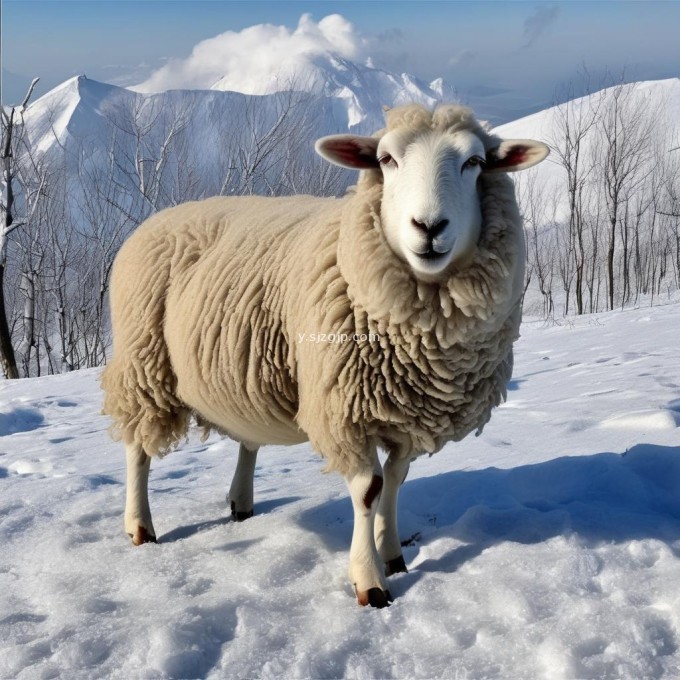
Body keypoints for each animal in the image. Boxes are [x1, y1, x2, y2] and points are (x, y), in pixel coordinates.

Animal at [99, 103, 548, 608]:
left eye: (475, 162)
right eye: (386, 159)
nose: (429, 228)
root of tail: (157, 218)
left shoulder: (410, 414)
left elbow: (395, 480)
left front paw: (393, 555)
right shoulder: (345, 407)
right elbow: (369, 489)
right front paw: (370, 582)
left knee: (247, 440)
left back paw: (241, 503)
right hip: (144, 360)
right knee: (138, 446)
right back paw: (140, 525)